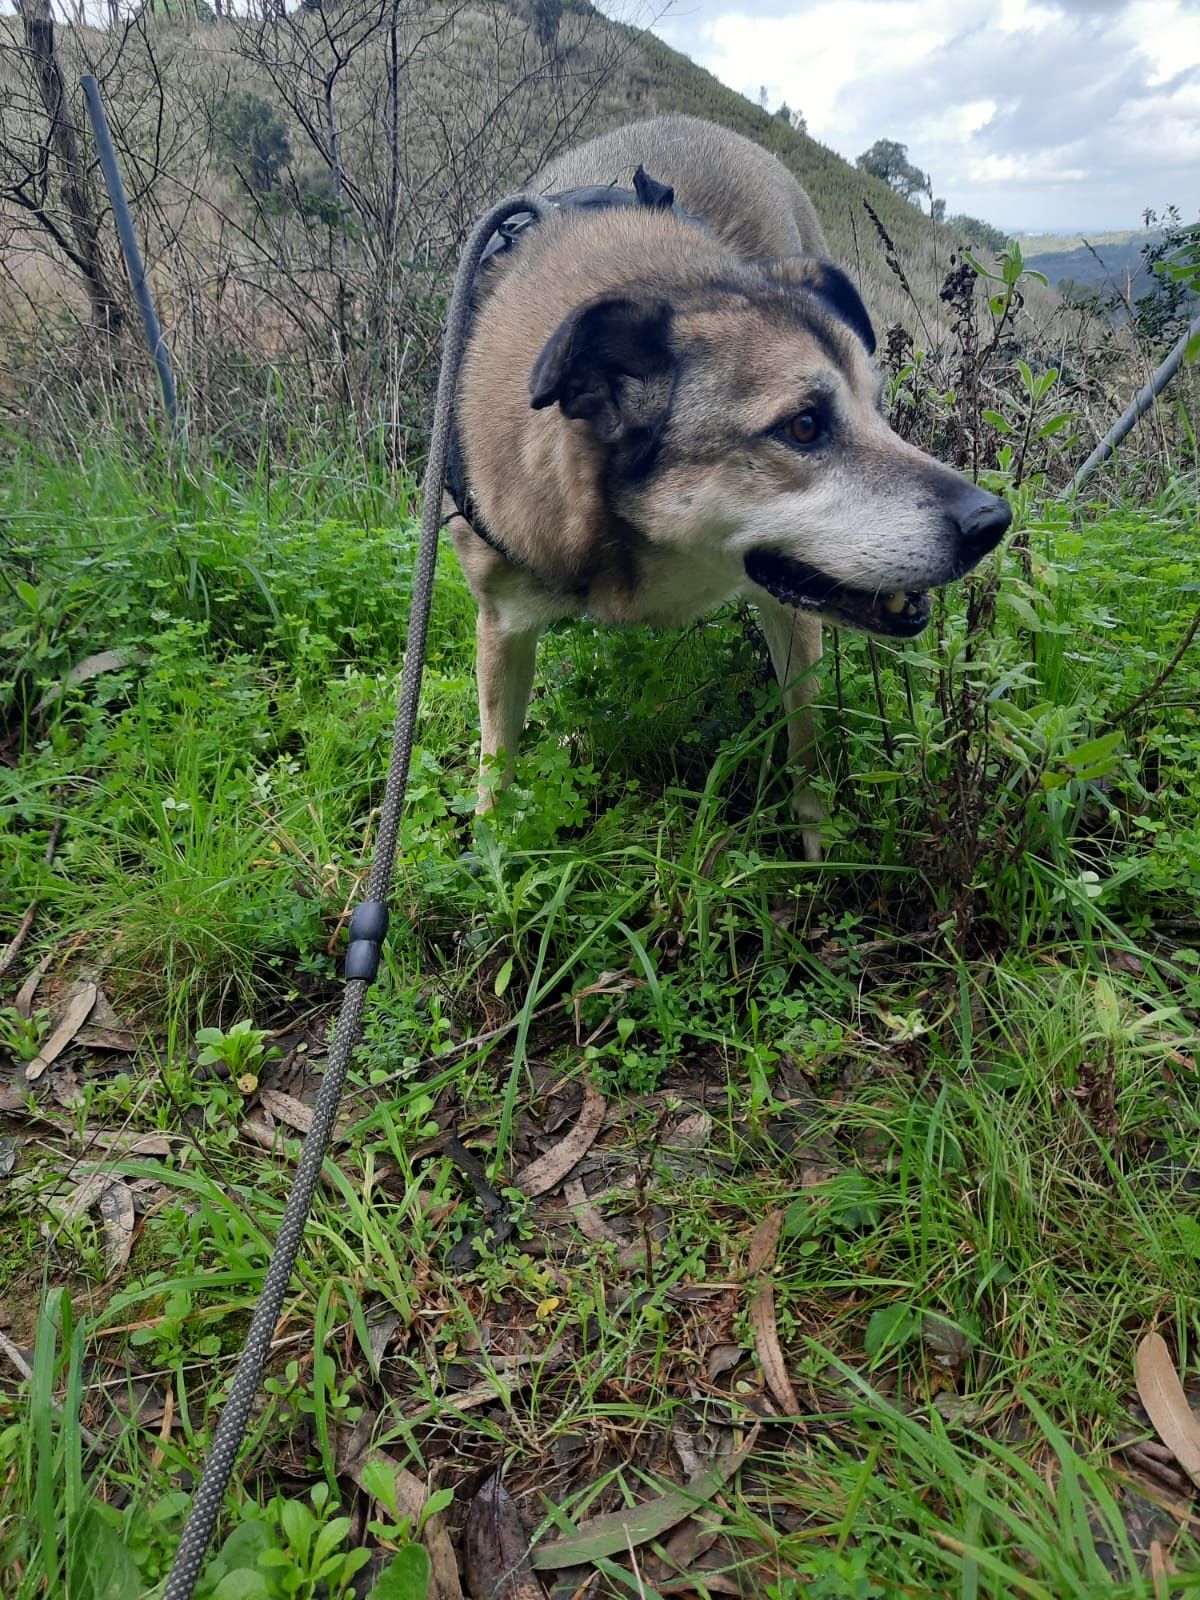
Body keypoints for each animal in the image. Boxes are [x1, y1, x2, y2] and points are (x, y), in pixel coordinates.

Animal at [448, 116, 1011, 857]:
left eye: (879, 408)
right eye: (803, 426)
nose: (992, 522)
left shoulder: (793, 612)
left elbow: (808, 738)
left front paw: (818, 851)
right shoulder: (501, 624)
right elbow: (497, 766)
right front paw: (493, 859)